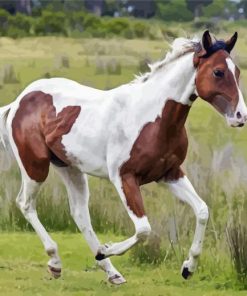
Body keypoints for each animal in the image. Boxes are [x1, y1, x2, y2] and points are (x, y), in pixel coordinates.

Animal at [0, 30, 247, 284]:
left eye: (237, 71)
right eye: (218, 72)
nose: (240, 116)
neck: (151, 117)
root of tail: (19, 101)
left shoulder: (170, 174)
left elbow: (202, 211)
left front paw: (188, 267)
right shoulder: (124, 178)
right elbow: (144, 229)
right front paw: (106, 249)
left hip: (70, 168)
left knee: (79, 213)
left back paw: (112, 273)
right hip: (35, 167)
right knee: (25, 204)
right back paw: (56, 262)